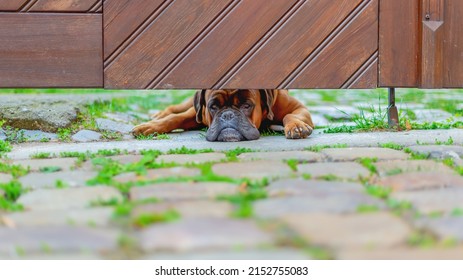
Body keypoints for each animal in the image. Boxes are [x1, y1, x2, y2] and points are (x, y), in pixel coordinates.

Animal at [132, 89, 318, 142]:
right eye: (213, 107)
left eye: (246, 105)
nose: (228, 115)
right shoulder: (198, 113)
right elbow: (177, 118)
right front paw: (150, 127)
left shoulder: (299, 108)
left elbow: (289, 116)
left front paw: (296, 126)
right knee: (177, 108)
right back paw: (158, 115)